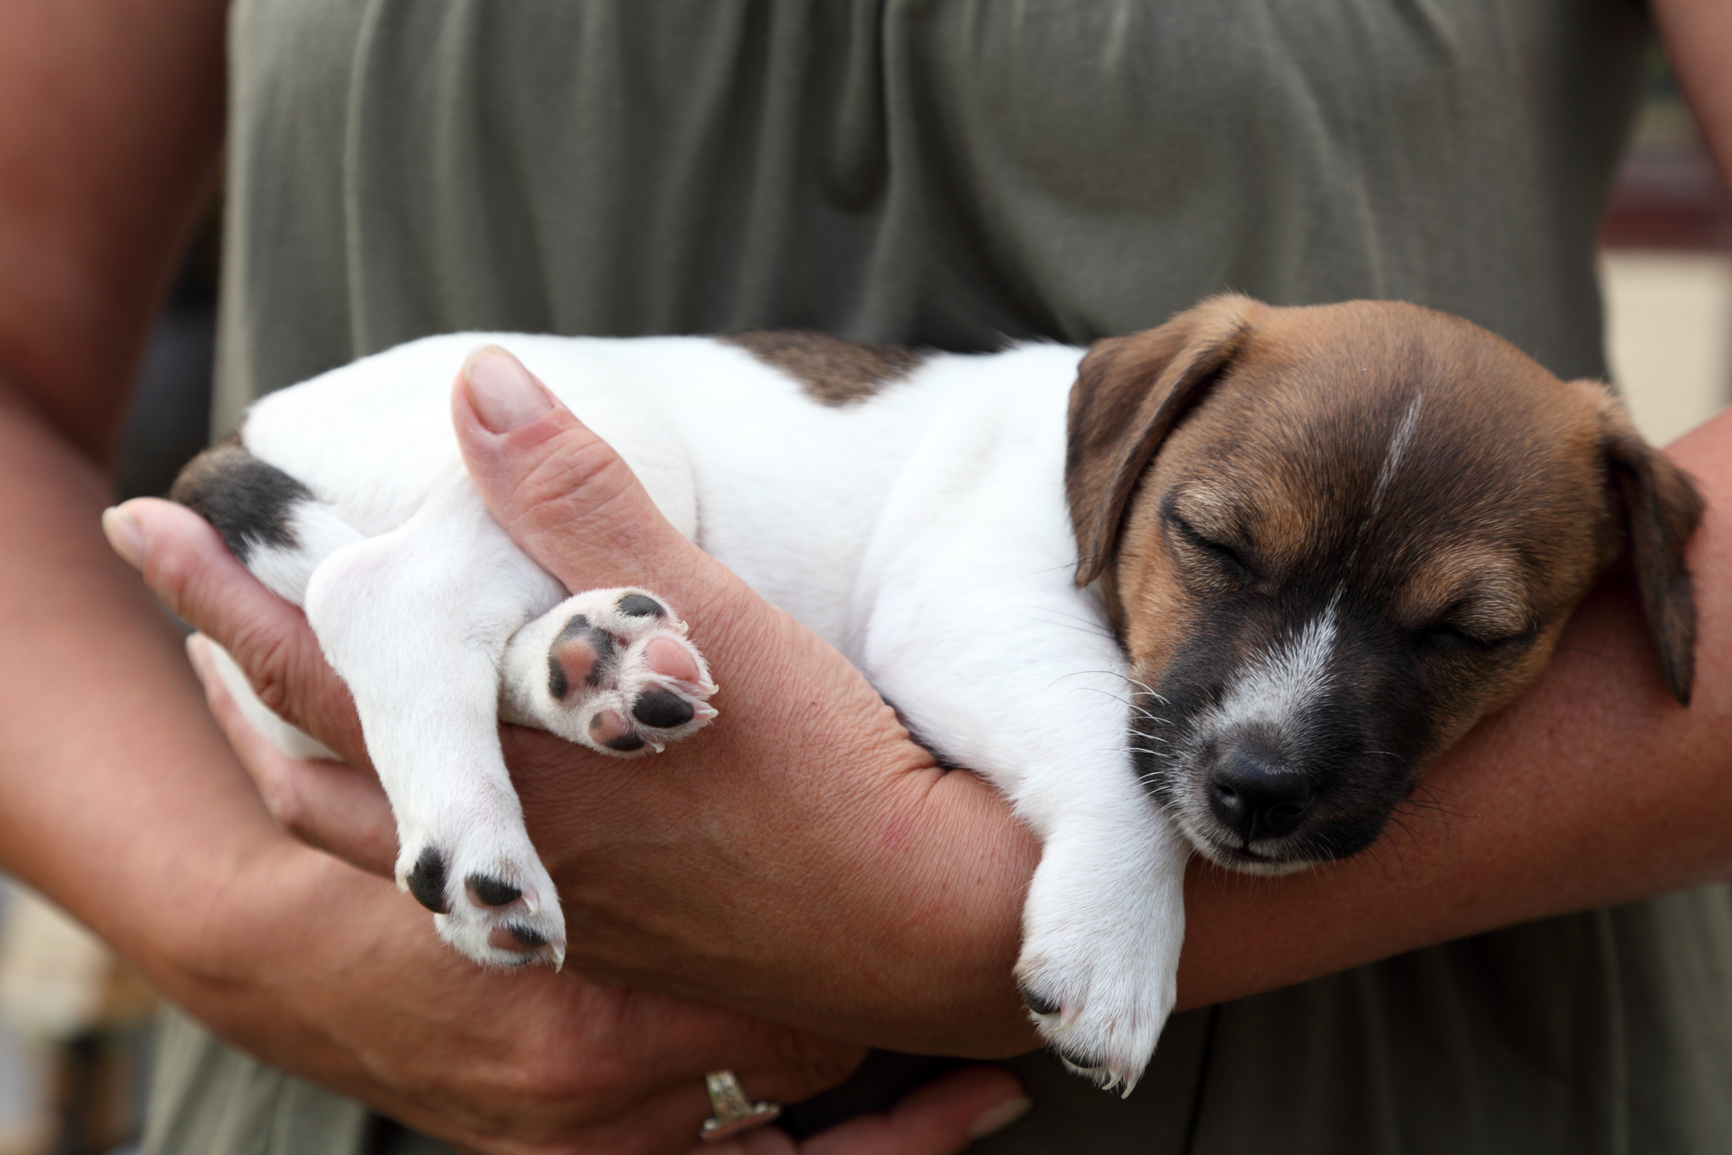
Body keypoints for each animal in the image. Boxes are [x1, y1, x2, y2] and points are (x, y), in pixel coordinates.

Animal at [168, 296, 1697, 1094]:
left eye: (1468, 632)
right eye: (1214, 540)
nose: (1260, 791)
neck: (1100, 494)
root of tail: (249, 425)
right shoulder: (968, 604)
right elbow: (1112, 743)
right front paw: (1119, 941)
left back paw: (597, 664)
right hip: (603, 441)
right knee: (380, 593)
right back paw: (484, 844)